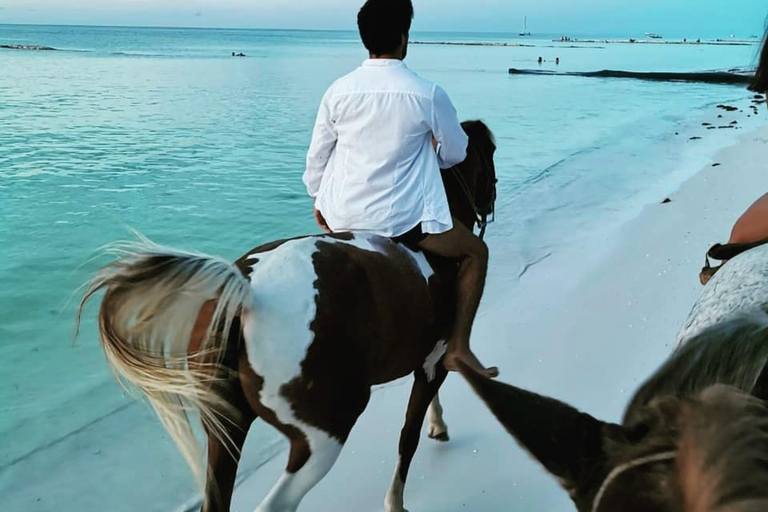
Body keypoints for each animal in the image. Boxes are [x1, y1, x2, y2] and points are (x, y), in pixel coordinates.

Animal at [76, 121, 498, 512]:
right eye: (491, 153)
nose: (490, 201)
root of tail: (247, 290)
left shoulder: (427, 361)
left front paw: (436, 423)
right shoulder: (434, 363)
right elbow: (407, 437)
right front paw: (396, 498)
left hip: (225, 426)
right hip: (322, 436)